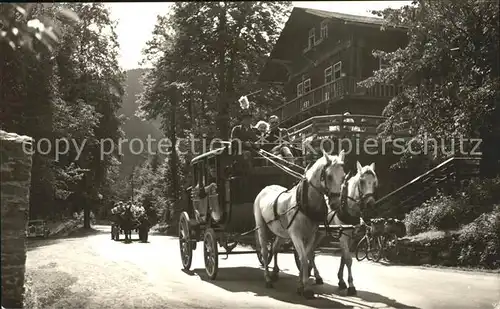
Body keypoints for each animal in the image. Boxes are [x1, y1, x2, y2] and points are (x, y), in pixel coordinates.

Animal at [254, 150, 344, 298]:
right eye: (329, 176)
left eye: (343, 176)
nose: (336, 204)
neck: (305, 203)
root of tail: (266, 188)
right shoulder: (296, 235)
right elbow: (303, 258)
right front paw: (306, 288)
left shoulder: (310, 235)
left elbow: (306, 257)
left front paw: (301, 285)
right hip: (262, 227)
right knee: (265, 252)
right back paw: (267, 278)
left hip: (281, 232)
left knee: (275, 248)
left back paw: (275, 272)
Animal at [306, 160, 376, 294]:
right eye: (362, 181)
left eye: (374, 183)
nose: (370, 203)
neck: (348, 207)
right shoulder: (343, 237)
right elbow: (348, 260)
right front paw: (351, 286)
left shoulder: (351, 238)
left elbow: (344, 258)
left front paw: (341, 281)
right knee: (309, 252)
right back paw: (316, 275)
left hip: (320, 234)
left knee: (311, 251)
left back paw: (310, 271)